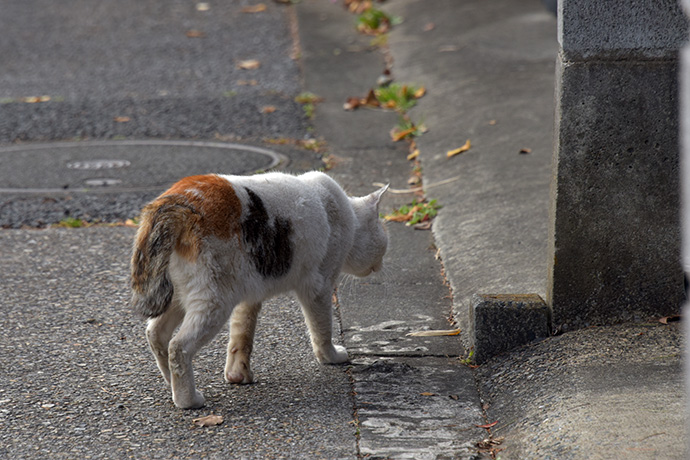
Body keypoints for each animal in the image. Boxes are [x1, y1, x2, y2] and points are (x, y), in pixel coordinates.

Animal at [130, 171, 388, 408]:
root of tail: (175, 201)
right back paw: (188, 400)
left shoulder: (249, 296)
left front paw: (237, 375)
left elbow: (242, 335)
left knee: (155, 333)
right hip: (214, 300)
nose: (381, 266)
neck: (348, 217)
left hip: (179, 295)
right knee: (178, 347)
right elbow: (322, 330)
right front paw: (331, 357)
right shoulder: (319, 287)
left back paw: (170, 384)